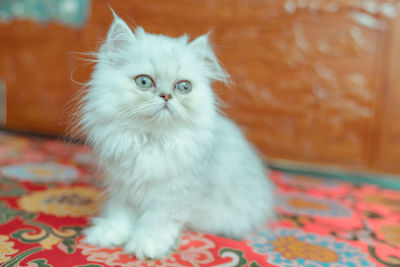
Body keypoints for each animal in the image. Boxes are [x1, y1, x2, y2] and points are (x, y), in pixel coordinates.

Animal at [80, 13, 276, 260]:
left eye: (183, 87)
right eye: (144, 82)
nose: (166, 96)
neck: (151, 140)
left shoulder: (171, 197)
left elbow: (156, 222)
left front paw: (145, 245)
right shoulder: (122, 187)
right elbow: (120, 214)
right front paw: (108, 234)